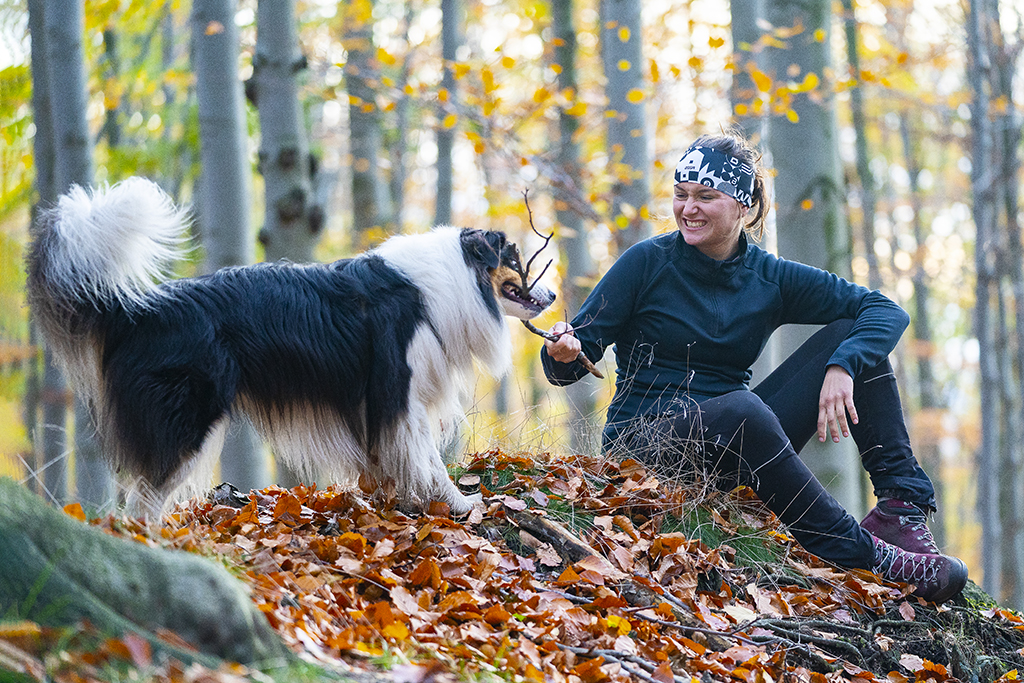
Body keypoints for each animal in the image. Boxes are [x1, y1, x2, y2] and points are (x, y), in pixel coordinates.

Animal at [25, 179, 552, 516]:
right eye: (516, 261)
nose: (549, 296)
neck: (446, 285)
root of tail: (139, 308)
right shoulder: (397, 393)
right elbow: (429, 461)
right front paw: (461, 504)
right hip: (187, 419)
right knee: (143, 501)